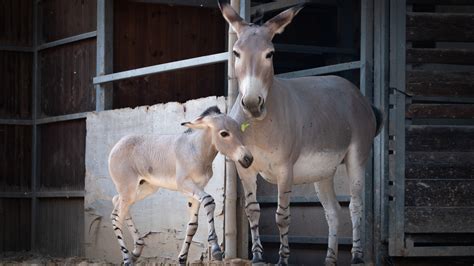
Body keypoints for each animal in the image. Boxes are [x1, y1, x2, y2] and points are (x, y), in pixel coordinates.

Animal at [109, 106, 254, 266]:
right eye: (224, 133)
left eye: (238, 130)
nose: (248, 159)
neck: (196, 151)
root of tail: (117, 145)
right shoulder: (184, 185)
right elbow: (209, 201)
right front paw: (215, 248)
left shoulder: (198, 188)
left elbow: (193, 226)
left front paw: (182, 258)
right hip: (129, 188)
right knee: (116, 217)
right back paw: (127, 259)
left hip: (145, 188)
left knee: (117, 202)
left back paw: (136, 251)